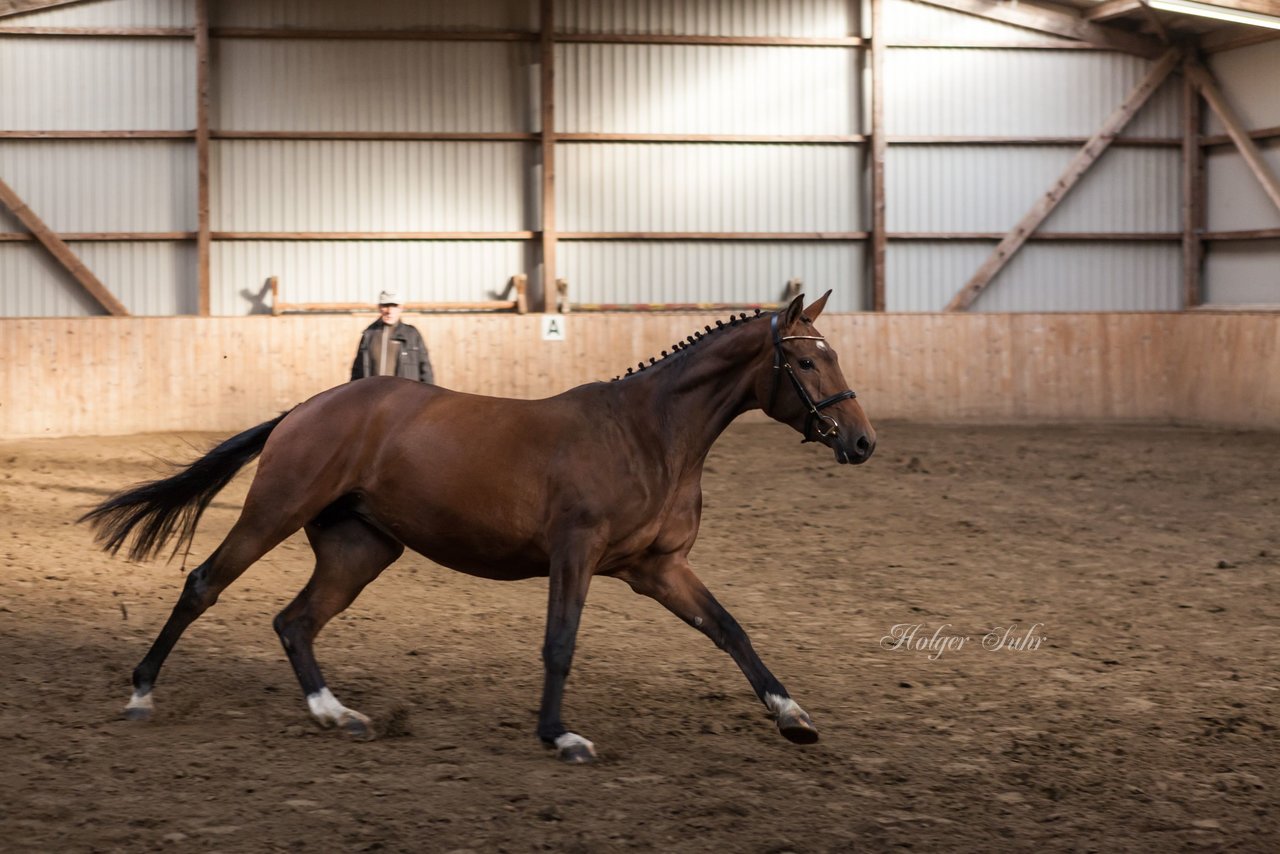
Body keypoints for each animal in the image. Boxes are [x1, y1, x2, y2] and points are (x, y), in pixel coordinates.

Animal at [80, 291, 875, 763]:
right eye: (806, 360)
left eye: (835, 354)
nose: (862, 443)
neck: (648, 435)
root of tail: (306, 408)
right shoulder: (576, 553)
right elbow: (560, 644)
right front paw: (560, 735)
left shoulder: (658, 568)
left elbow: (730, 630)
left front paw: (793, 716)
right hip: (276, 511)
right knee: (204, 585)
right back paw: (141, 694)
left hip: (360, 549)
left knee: (294, 621)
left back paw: (336, 714)